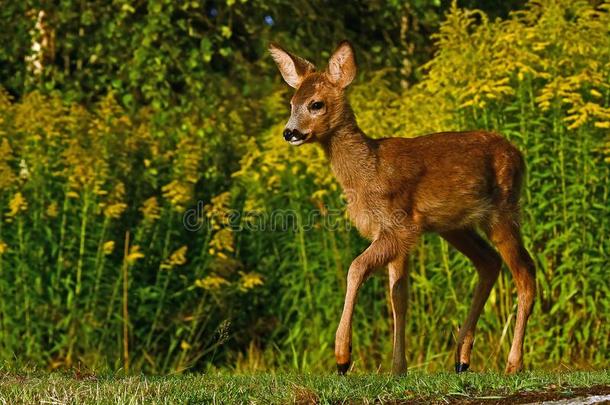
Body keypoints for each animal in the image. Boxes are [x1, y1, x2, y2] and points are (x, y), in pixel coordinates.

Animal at [268, 39, 536, 374]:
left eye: (315, 104)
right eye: (292, 103)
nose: (289, 132)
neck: (370, 169)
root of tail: (519, 155)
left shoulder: (400, 225)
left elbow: (356, 268)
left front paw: (343, 357)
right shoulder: (392, 232)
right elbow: (399, 296)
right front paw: (398, 369)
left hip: (503, 210)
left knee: (525, 272)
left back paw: (513, 363)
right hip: (455, 226)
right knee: (489, 262)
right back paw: (461, 358)